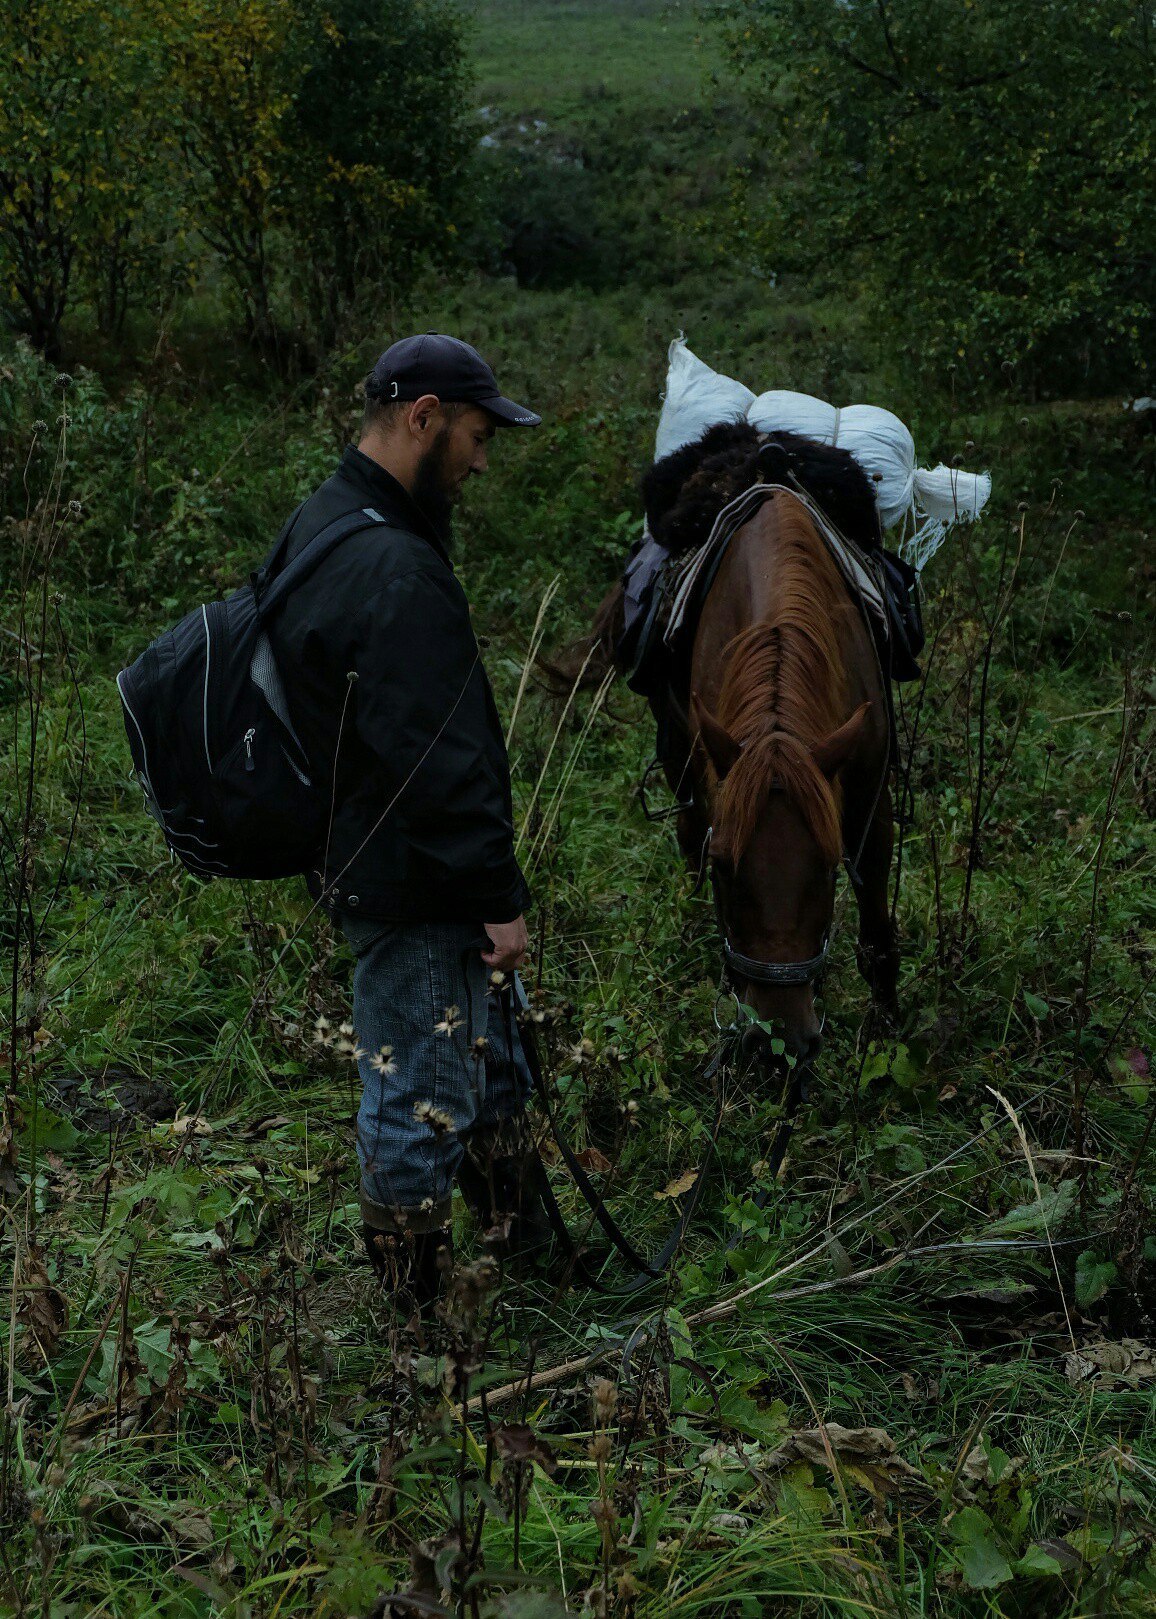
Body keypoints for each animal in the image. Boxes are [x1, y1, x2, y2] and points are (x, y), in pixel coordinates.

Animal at [667, 485, 900, 1068]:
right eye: (722, 868)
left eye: (829, 869)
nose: (781, 1044)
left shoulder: (871, 802)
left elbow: (876, 934)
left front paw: (888, 1029)